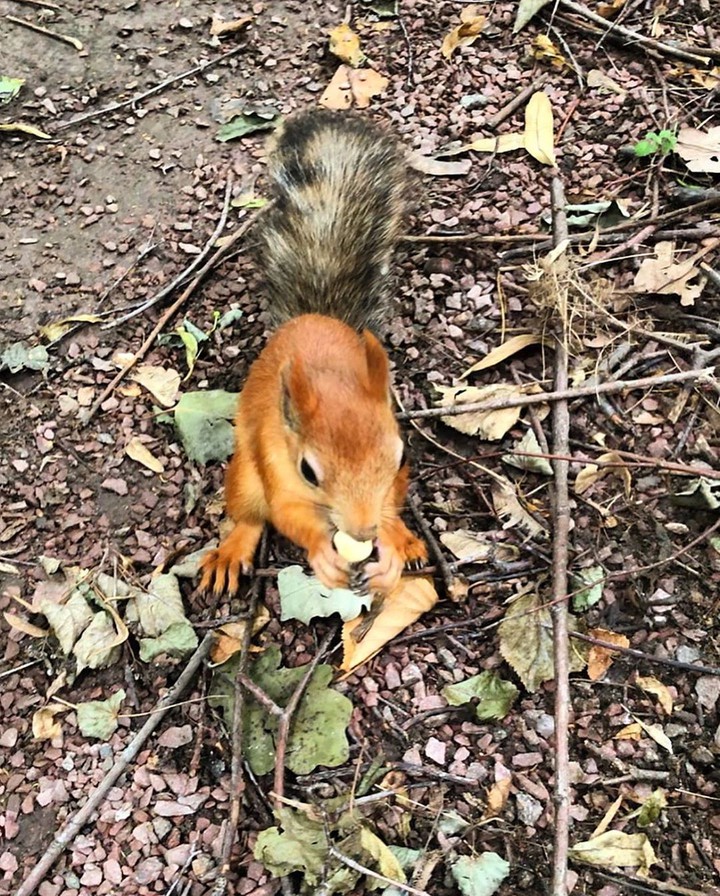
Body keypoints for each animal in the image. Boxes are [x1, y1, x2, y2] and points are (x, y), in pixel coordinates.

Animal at [199, 108, 427, 597]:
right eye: (308, 471)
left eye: (400, 456)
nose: (363, 532)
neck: (327, 376)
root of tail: (313, 318)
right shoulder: (276, 464)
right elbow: (288, 515)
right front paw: (324, 554)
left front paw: (391, 549)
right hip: (244, 475)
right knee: (249, 515)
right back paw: (231, 551)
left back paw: (405, 540)